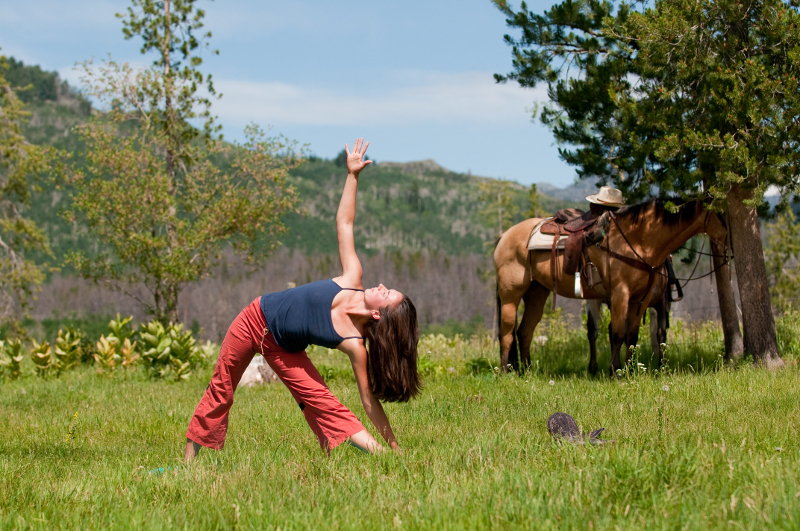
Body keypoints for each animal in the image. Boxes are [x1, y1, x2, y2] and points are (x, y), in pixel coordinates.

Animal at [490, 197, 728, 376]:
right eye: (721, 213)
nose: (729, 241)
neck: (637, 239)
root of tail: (504, 236)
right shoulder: (620, 294)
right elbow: (617, 333)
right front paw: (616, 371)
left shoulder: (640, 300)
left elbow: (632, 336)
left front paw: (631, 370)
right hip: (511, 294)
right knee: (507, 332)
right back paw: (505, 371)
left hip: (537, 293)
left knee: (525, 331)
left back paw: (527, 370)